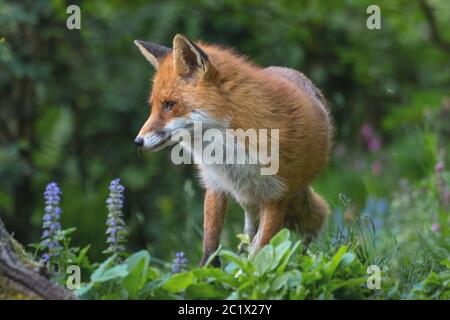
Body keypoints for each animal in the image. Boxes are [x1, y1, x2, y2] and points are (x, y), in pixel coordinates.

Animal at [132, 33, 332, 266]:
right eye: (154, 106)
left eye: (169, 105)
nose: (137, 141)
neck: (231, 152)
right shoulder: (215, 184)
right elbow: (210, 244)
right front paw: (207, 271)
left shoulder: (276, 195)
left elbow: (263, 250)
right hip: (249, 200)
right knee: (249, 230)